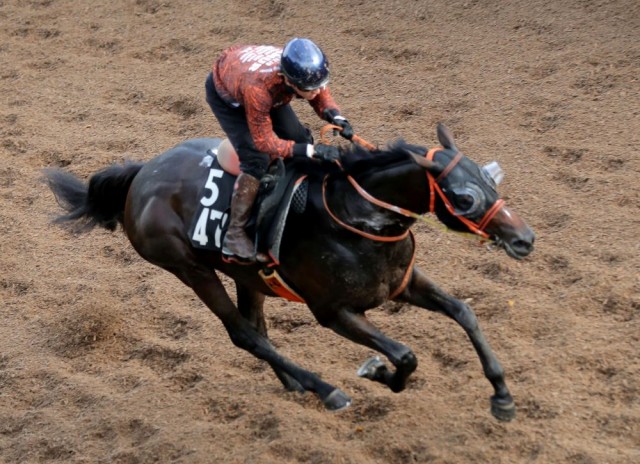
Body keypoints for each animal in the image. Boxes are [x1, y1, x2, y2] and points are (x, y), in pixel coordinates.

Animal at [46, 125, 536, 422]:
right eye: (465, 197)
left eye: (491, 178)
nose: (524, 238)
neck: (354, 217)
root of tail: (141, 174)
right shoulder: (334, 312)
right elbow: (405, 355)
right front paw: (376, 371)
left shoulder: (402, 284)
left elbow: (464, 313)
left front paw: (502, 397)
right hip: (188, 267)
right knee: (244, 334)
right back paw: (327, 390)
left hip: (247, 276)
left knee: (258, 329)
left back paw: (297, 384)